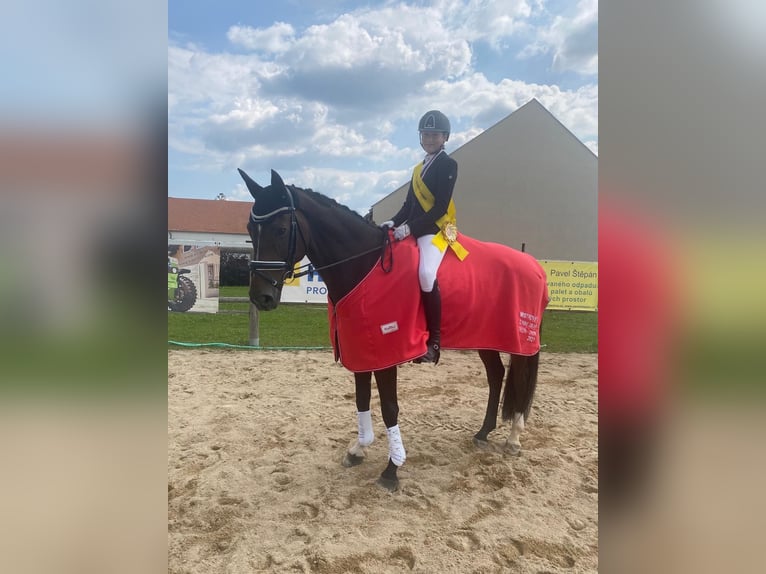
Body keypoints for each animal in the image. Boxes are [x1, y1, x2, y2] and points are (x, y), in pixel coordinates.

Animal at [240, 169, 544, 492]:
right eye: (250, 228)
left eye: (282, 229)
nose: (261, 297)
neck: (364, 264)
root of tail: (533, 264)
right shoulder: (360, 349)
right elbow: (361, 399)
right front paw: (358, 449)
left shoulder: (387, 355)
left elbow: (389, 408)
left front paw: (391, 469)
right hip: (486, 337)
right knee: (496, 375)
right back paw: (483, 432)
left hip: (521, 341)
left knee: (521, 380)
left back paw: (514, 438)